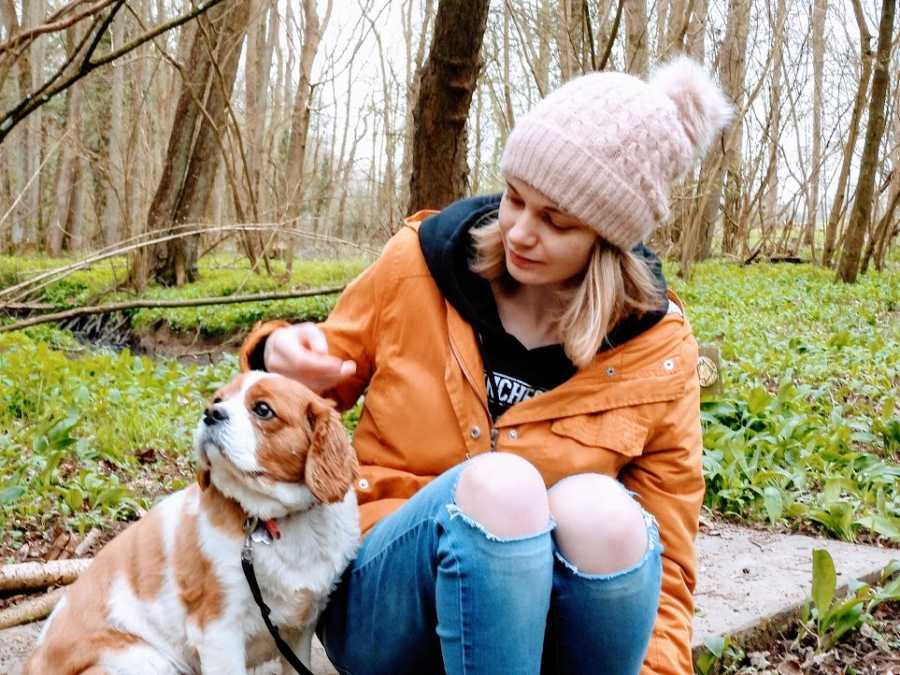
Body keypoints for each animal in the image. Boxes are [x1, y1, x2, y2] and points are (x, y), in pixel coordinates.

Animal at [23, 372, 358, 675]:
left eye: (262, 409)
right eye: (217, 400)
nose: (211, 413)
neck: (275, 520)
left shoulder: (299, 628)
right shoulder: (219, 632)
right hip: (147, 660)